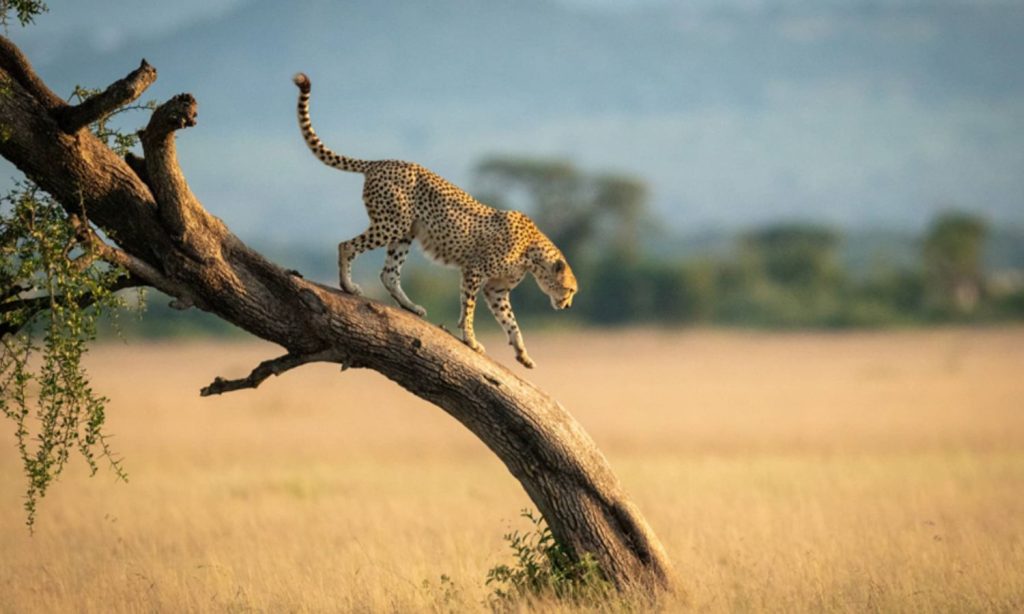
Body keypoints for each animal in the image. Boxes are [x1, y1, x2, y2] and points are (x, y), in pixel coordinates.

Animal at [292, 73, 577, 368]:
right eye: (569, 290)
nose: (567, 305)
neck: (533, 253)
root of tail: (382, 162)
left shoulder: (496, 289)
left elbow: (510, 321)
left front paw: (522, 353)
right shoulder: (474, 271)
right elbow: (469, 309)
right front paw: (470, 340)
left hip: (405, 232)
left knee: (389, 273)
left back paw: (410, 306)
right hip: (391, 225)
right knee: (346, 245)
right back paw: (348, 286)